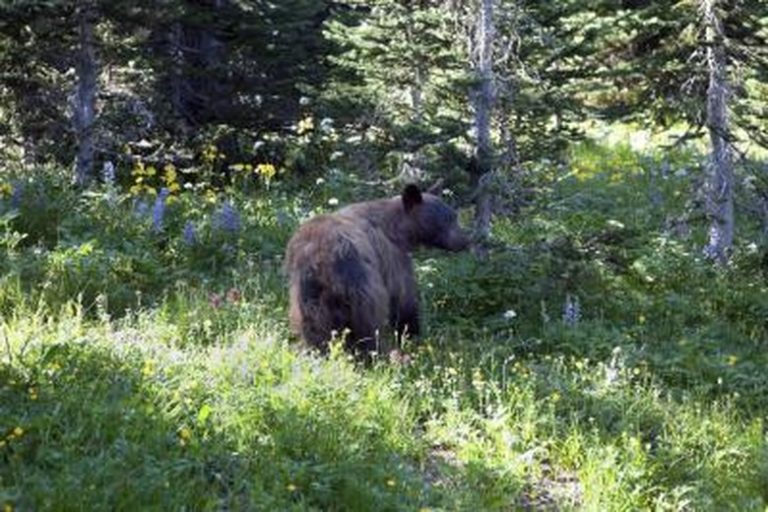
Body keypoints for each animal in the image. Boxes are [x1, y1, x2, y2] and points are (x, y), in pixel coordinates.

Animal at [286, 184, 472, 356]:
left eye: (454, 217)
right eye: (449, 219)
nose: (465, 240)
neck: (399, 228)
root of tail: (320, 256)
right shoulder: (392, 254)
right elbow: (403, 296)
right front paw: (411, 334)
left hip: (306, 291)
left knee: (313, 322)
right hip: (360, 280)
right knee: (367, 319)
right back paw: (372, 353)